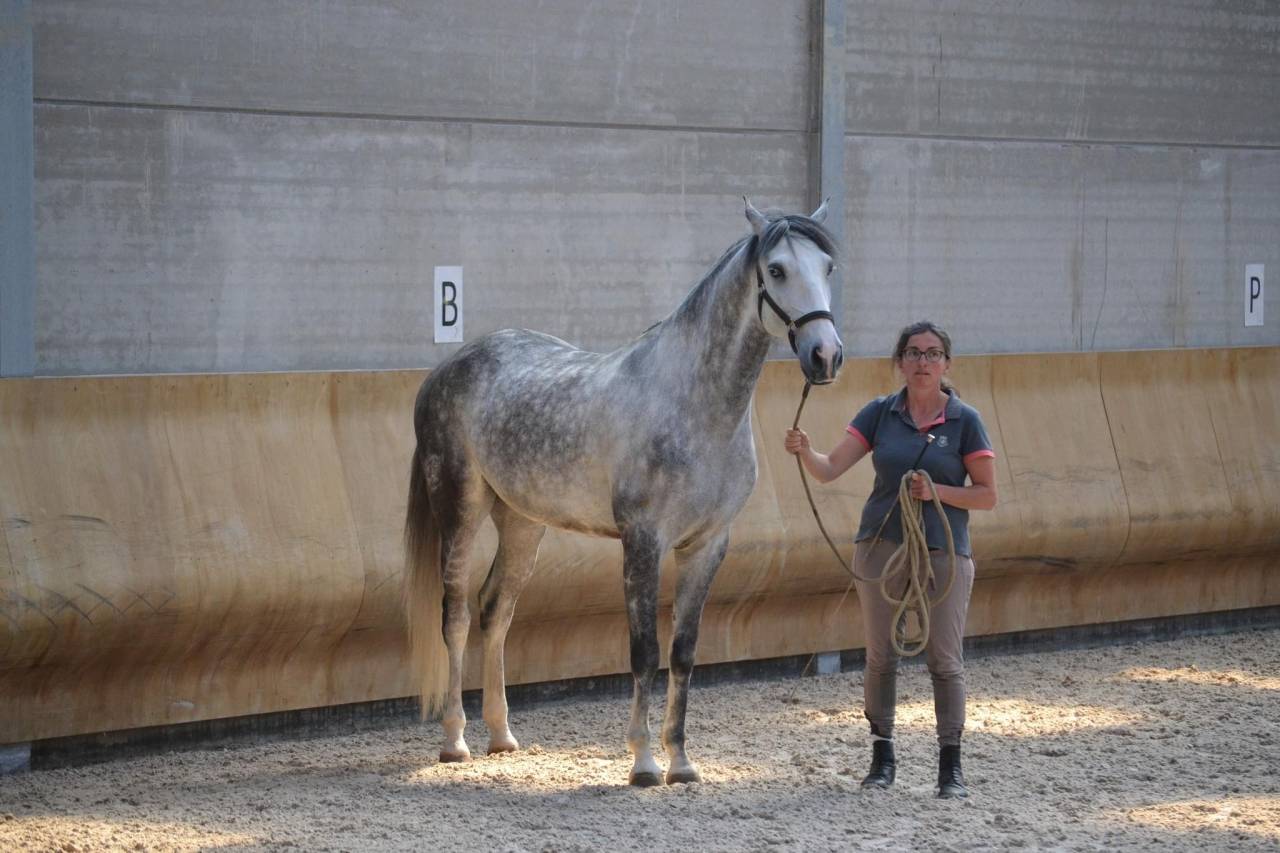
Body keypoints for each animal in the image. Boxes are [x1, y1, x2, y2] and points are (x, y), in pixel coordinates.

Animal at [404, 199, 843, 786]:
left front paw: (681, 762)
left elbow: (683, 653)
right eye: (775, 270)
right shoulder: (643, 540)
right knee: (454, 616)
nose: (826, 356)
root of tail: (447, 369)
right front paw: (643, 763)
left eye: (828, 267)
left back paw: (501, 736)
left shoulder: (708, 545)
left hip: (523, 521)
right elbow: (644, 651)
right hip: (460, 508)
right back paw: (455, 741)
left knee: (496, 610)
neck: (693, 406)